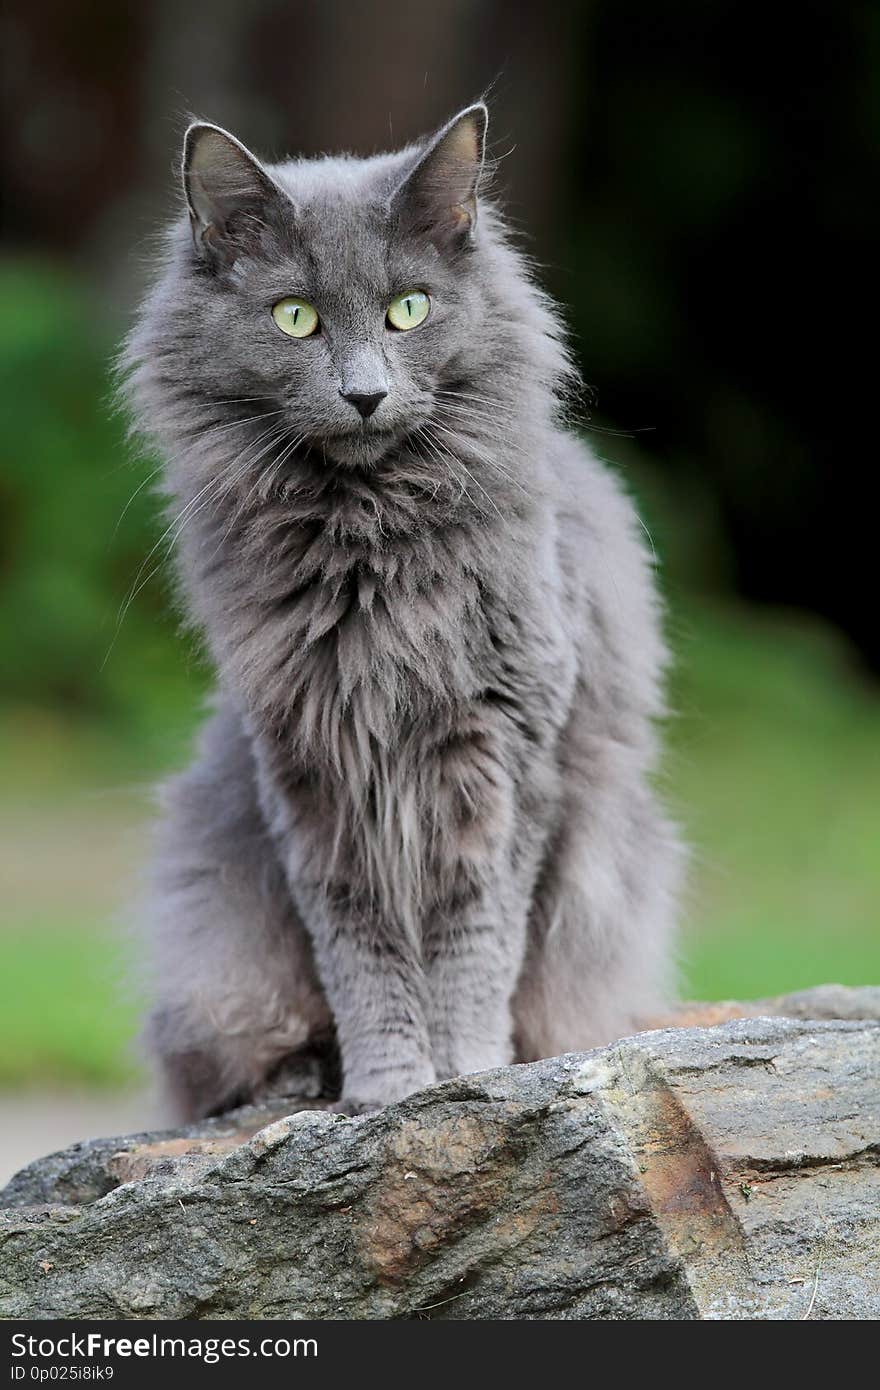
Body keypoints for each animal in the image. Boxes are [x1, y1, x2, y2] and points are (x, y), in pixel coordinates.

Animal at [121, 100, 678, 1117]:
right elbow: (364, 951)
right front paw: (384, 1087)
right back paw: (297, 1080)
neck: (368, 543)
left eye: (408, 308)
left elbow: (474, 942)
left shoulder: (506, 759)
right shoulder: (311, 770)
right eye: (295, 318)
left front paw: (468, 1072)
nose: (365, 393)